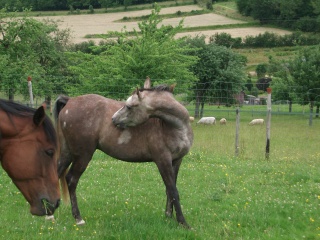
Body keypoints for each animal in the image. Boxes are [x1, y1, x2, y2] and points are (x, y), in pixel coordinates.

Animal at [53, 78, 194, 228]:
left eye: (129, 106)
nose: (113, 119)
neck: (176, 127)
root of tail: (70, 101)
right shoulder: (162, 160)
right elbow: (173, 190)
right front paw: (183, 222)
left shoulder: (176, 160)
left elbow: (169, 189)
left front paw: (169, 216)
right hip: (83, 156)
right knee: (72, 180)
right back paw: (78, 218)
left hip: (67, 153)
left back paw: (49, 215)